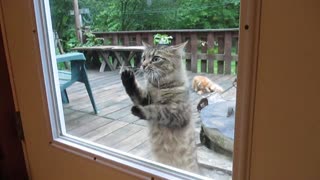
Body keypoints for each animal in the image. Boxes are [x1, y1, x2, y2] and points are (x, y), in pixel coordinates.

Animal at [121, 41, 199, 173]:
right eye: (144, 58)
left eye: (156, 59)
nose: (143, 65)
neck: (160, 87)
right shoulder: (145, 99)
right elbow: (135, 92)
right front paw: (127, 77)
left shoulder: (177, 113)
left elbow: (157, 110)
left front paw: (138, 110)